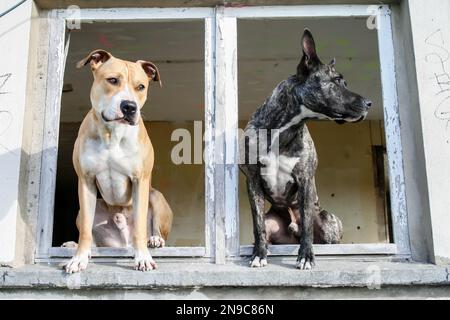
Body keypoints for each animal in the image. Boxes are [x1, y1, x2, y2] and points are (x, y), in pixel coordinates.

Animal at [65, 49, 172, 272]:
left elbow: (140, 225)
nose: (129, 107)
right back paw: (72, 244)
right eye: (112, 80)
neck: (111, 133)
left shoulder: (140, 180)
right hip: (86, 209)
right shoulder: (86, 180)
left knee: (153, 228)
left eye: (141, 87)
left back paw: (155, 240)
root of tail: (123, 242)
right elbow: (85, 230)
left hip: (156, 196)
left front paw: (143, 258)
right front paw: (79, 258)